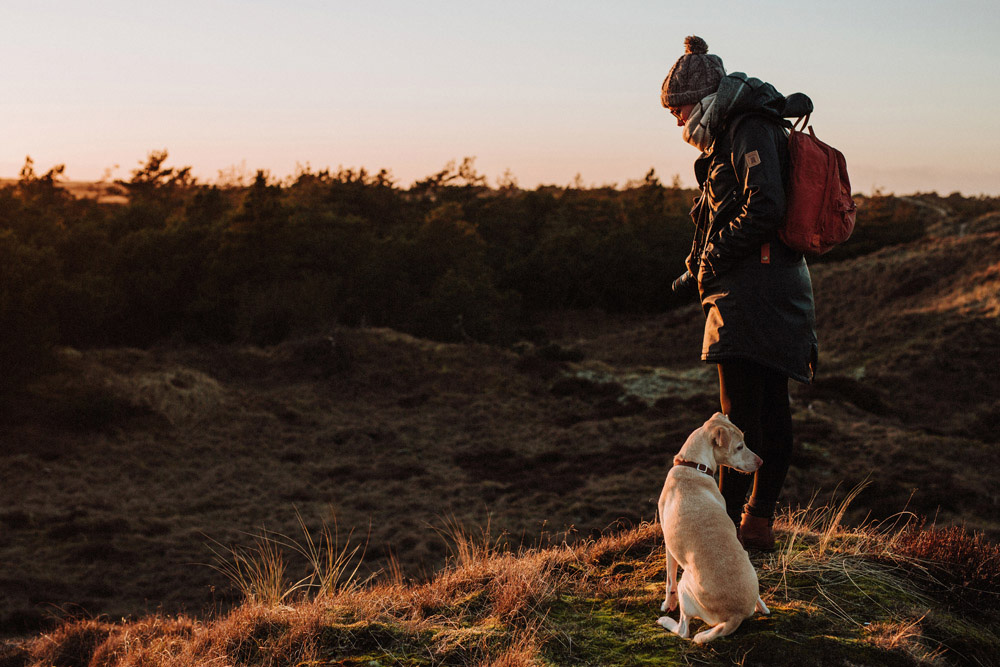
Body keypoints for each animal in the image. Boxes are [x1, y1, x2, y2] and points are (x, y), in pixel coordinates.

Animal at [660, 412, 768, 640]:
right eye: (739, 446)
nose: (761, 461)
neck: (693, 466)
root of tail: (735, 616)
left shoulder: (668, 544)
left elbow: (669, 580)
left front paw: (667, 605)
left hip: (685, 585)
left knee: (684, 630)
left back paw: (666, 622)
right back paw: (762, 606)